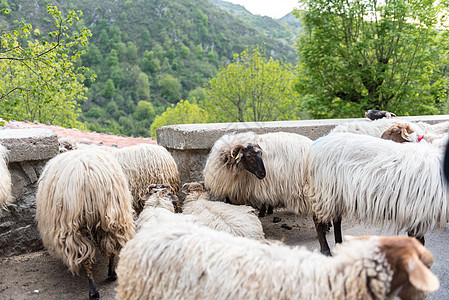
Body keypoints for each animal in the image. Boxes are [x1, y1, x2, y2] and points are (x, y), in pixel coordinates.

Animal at [35, 149, 135, 298]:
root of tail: (89, 176)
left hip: (74, 227)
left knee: (85, 258)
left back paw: (93, 291)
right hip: (115, 217)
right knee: (112, 247)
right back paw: (111, 274)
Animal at [304, 132, 448, 254]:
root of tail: (317, 143)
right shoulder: (416, 213)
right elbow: (418, 241)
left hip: (337, 194)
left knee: (336, 219)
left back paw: (340, 244)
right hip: (324, 191)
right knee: (318, 219)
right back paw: (326, 250)